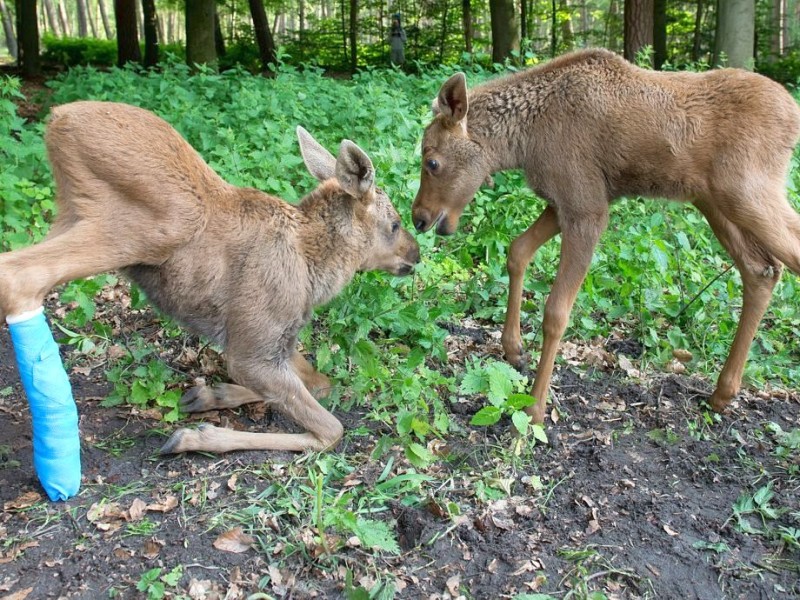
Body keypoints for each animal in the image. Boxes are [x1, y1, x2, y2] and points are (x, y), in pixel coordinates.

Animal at [1, 102, 418, 460]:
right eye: (394, 224)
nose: (415, 255)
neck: (315, 275)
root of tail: (57, 119)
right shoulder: (253, 348)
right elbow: (330, 428)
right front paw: (196, 435)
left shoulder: (276, 344)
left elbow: (319, 382)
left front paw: (209, 396)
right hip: (149, 227)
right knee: (20, 274)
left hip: (71, 216)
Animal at [412, 49, 800, 428]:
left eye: (432, 162)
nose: (419, 218)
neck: (521, 143)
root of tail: (793, 115)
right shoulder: (564, 203)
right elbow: (517, 250)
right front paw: (514, 348)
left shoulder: (588, 210)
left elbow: (556, 312)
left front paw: (535, 408)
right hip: (713, 201)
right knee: (761, 270)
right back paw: (723, 392)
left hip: (747, 193)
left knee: (784, 258)